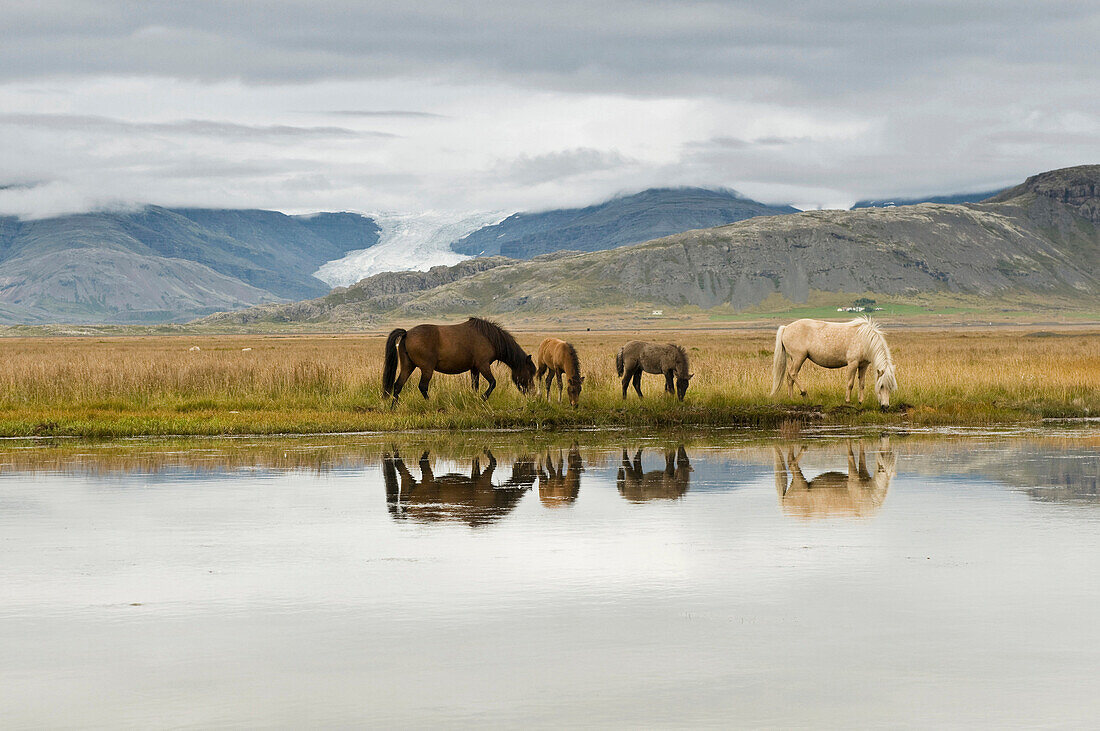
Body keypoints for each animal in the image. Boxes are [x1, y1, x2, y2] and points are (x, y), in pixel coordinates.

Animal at [380, 314, 534, 404]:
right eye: (530, 373)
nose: (531, 392)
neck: (489, 338)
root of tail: (407, 334)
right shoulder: (483, 365)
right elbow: (493, 383)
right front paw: (483, 398)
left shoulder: (475, 368)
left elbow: (475, 386)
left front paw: (475, 399)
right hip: (427, 369)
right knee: (422, 387)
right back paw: (430, 404)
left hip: (408, 366)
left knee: (398, 385)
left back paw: (394, 407)